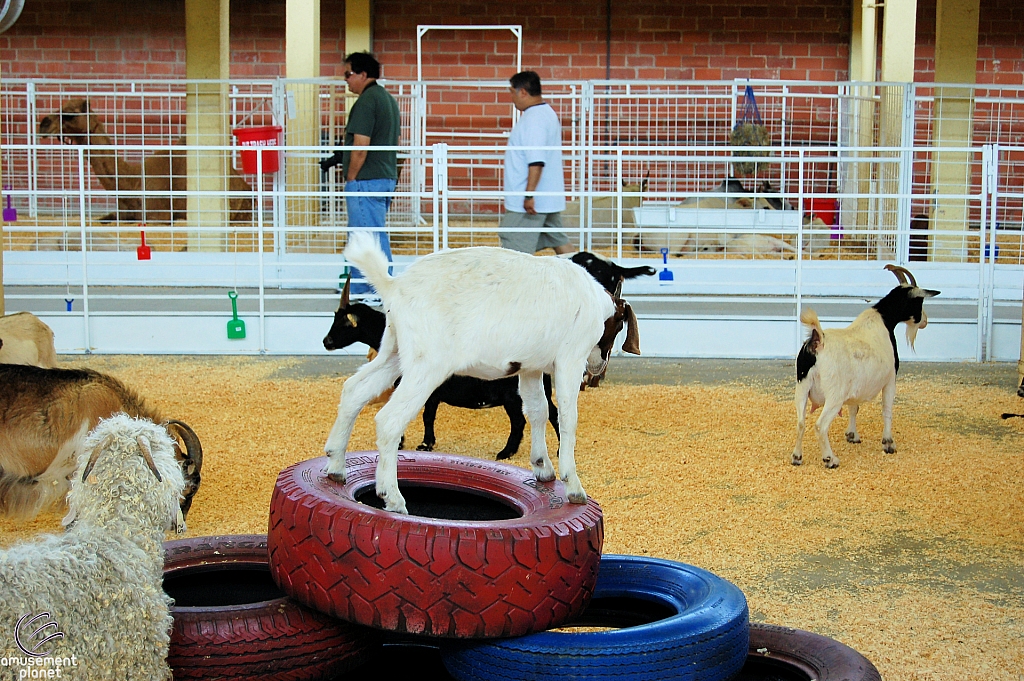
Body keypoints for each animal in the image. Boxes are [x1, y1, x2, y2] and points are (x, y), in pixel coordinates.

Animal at [321, 276, 557, 462]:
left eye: (344, 323)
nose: (326, 341)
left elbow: (425, 416)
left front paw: (413, 443)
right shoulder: (433, 394)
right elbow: (428, 416)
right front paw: (426, 442)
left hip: (512, 397)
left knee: (519, 422)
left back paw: (506, 452)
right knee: (551, 413)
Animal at [790, 266, 942, 466]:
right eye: (919, 301)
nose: (925, 321)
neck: (884, 320)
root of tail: (818, 342)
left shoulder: (855, 387)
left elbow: (854, 408)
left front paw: (852, 435)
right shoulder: (890, 379)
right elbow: (887, 410)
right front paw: (888, 443)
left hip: (802, 388)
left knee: (800, 422)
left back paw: (797, 457)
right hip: (834, 395)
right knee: (820, 426)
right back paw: (830, 459)